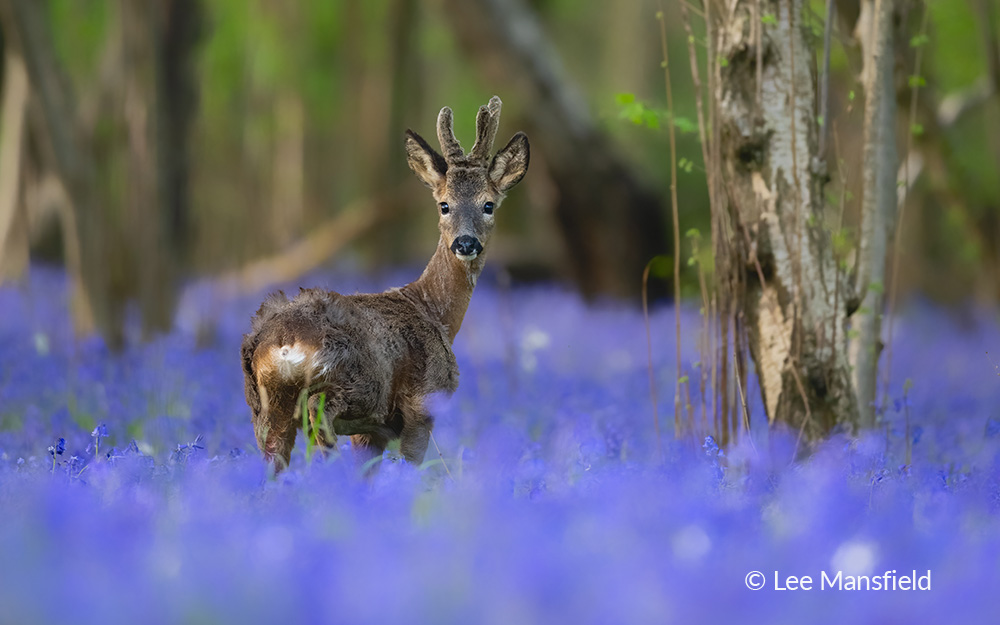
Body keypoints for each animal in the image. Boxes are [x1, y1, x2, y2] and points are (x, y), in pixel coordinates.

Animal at [241, 96, 529, 471]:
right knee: (319, 422)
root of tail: (282, 343)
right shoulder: (422, 403)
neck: (432, 310)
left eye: (488, 205)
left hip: (262, 405)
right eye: (444, 205)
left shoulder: (370, 432)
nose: (465, 243)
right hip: (353, 385)